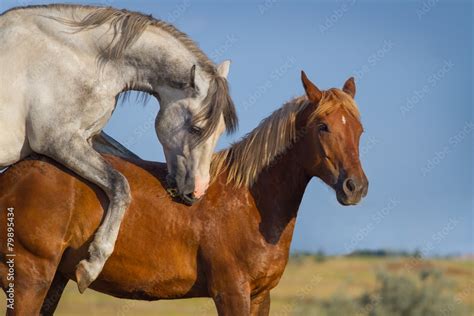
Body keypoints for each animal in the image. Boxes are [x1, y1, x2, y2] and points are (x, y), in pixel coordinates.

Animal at [0, 72, 366, 316]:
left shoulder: (261, 297)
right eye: (323, 127)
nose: (356, 187)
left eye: (359, 130)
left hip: (53, 282)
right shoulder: (231, 293)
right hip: (31, 280)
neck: (249, 201)